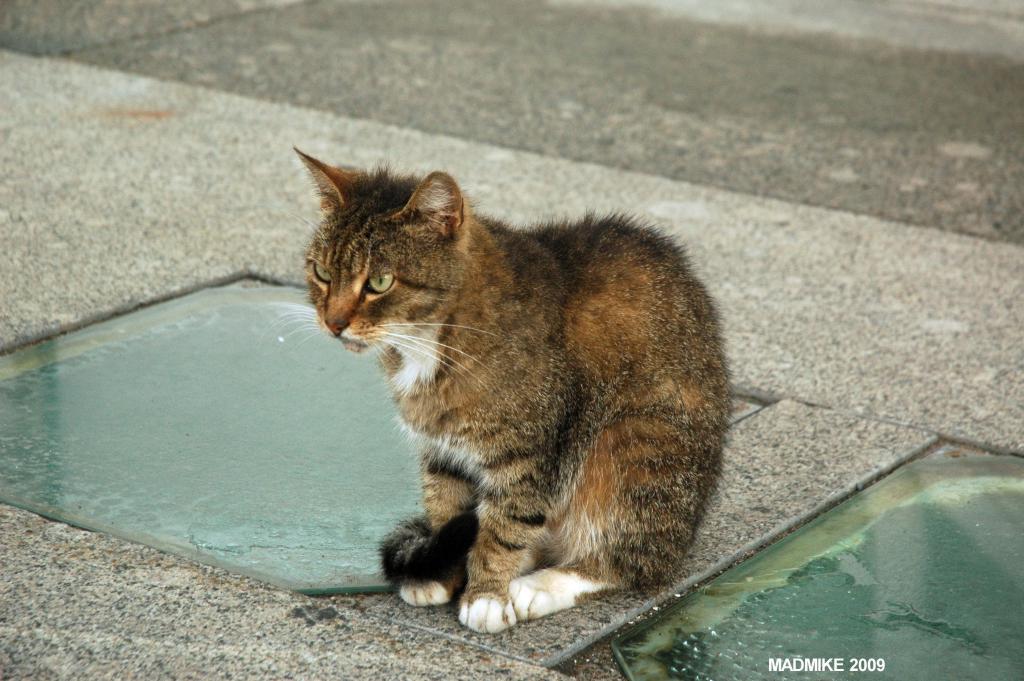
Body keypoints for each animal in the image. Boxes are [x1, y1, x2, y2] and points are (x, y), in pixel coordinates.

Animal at [295, 148, 730, 634]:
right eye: (321, 272)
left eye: (379, 283)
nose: (333, 323)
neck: (432, 342)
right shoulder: (443, 450)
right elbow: (446, 507)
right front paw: (444, 573)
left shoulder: (530, 455)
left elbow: (504, 527)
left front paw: (486, 594)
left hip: (634, 448)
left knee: (625, 561)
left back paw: (539, 586)